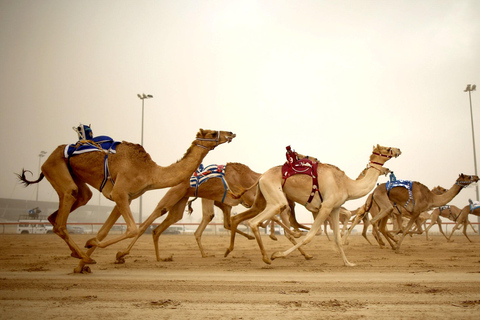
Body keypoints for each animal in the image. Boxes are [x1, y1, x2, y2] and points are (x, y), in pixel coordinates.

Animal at [17, 128, 235, 270]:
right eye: (211, 133)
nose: (231, 133)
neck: (150, 172)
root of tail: (50, 156)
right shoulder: (120, 193)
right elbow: (132, 229)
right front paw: (94, 249)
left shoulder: (126, 198)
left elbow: (104, 231)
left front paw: (82, 262)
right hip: (55, 166)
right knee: (62, 219)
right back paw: (85, 255)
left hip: (75, 179)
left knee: (66, 210)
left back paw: (79, 255)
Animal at [225, 144, 402, 264]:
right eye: (387, 149)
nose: (398, 150)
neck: (346, 185)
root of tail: (261, 177)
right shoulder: (325, 207)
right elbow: (310, 236)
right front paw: (278, 254)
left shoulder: (335, 208)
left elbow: (337, 238)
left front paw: (348, 263)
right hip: (276, 199)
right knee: (254, 221)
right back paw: (267, 257)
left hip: (261, 199)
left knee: (241, 218)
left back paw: (230, 250)